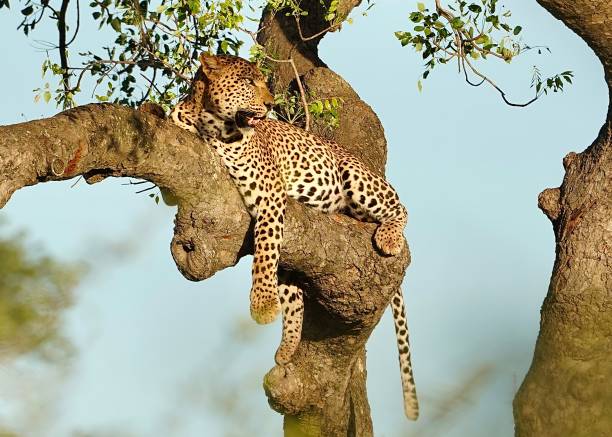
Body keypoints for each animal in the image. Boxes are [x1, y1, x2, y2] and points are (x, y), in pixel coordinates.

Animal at [165, 53, 418, 418]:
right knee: (294, 293)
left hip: (356, 176)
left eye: (262, 80)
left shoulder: (270, 193)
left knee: (400, 206)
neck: (209, 122)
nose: (270, 104)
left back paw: (390, 237)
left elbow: (265, 251)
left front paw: (262, 304)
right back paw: (286, 348)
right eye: (248, 82)